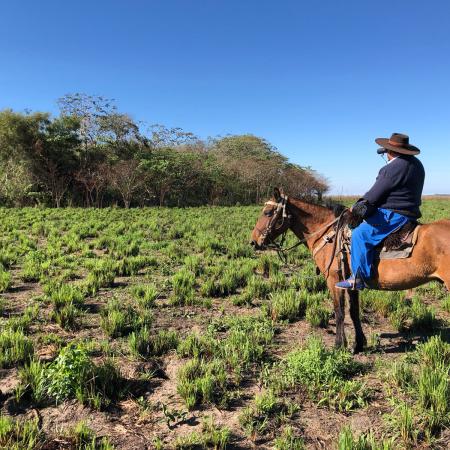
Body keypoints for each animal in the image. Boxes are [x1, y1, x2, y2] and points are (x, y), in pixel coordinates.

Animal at [250, 188, 450, 354]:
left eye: (267, 213)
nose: (253, 242)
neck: (327, 234)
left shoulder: (334, 280)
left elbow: (339, 312)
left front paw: (339, 345)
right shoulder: (352, 282)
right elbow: (354, 312)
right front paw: (359, 344)